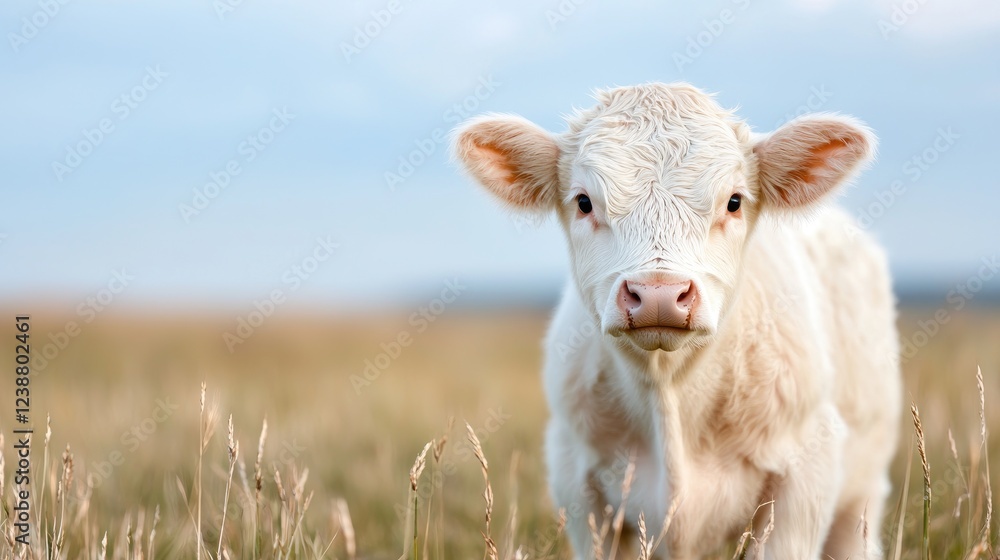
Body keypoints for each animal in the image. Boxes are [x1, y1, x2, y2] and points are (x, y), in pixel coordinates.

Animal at [451, 82, 901, 560]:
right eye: (584, 202)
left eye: (734, 201)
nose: (658, 296)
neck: (668, 394)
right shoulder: (578, 481)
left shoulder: (807, 473)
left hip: (861, 494)